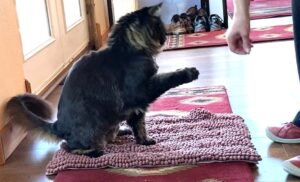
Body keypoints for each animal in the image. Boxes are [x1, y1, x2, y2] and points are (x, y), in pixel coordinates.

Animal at [3, 3, 199, 158]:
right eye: (158, 27)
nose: (165, 38)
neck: (127, 50)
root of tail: (58, 124)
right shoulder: (140, 92)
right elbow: (167, 78)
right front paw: (189, 72)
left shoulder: (137, 108)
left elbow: (140, 125)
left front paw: (144, 141)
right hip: (91, 130)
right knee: (67, 146)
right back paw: (95, 152)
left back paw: (122, 131)